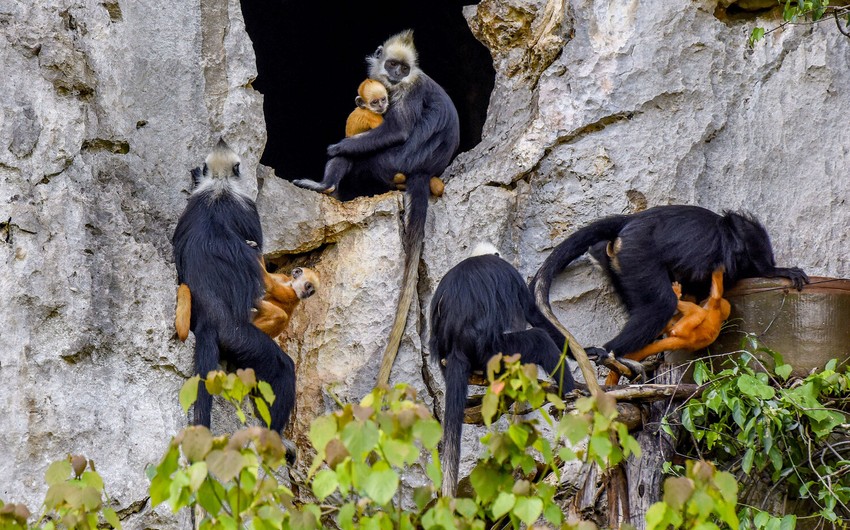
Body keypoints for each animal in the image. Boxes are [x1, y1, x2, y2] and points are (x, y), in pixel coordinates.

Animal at [171, 138, 296, 432]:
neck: (220, 185)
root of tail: (210, 320)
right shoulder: (247, 205)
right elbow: (258, 249)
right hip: (239, 339)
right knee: (283, 370)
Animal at [294, 29, 460, 384]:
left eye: (403, 68)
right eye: (392, 64)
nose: (396, 74)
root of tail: (424, 170)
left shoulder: (407, 91)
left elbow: (395, 129)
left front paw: (337, 147)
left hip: (389, 163)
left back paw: (328, 185)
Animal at [528, 203, 808, 380]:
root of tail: (631, 221)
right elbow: (744, 231)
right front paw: (777, 270)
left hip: (619, 262)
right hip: (637, 254)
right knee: (660, 304)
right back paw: (611, 352)